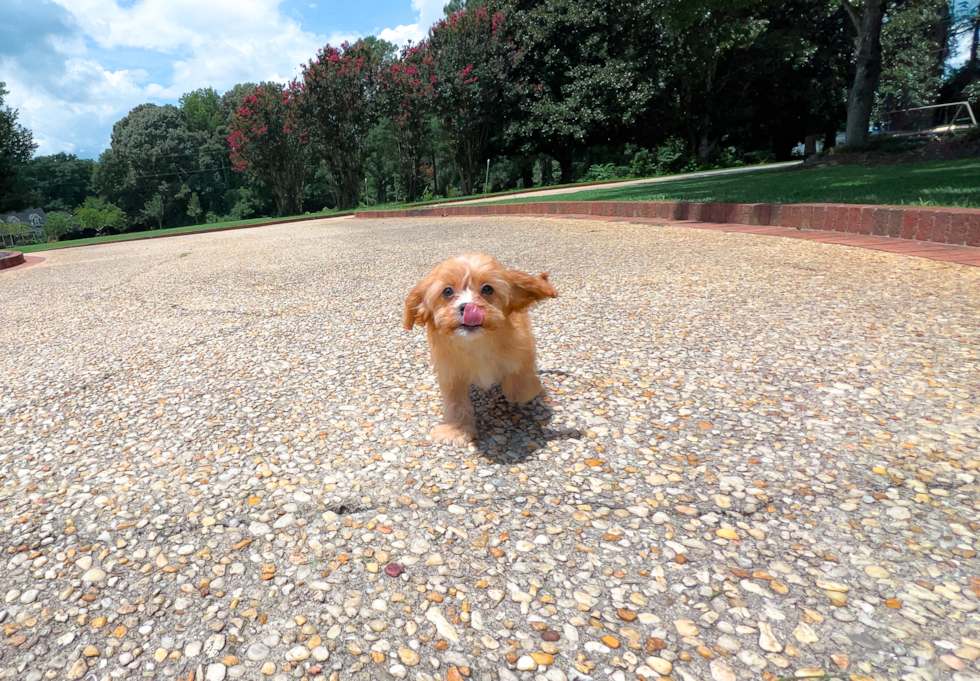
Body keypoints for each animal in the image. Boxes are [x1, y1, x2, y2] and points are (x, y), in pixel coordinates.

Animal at [404, 252, 560, 444]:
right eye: (447, 291)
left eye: (487, 289)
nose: (468, 307)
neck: (476, 342)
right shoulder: (451, 372)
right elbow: (455, 400)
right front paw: (456, 429)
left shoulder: (523, 350)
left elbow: (520, 387)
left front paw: (526, 390)